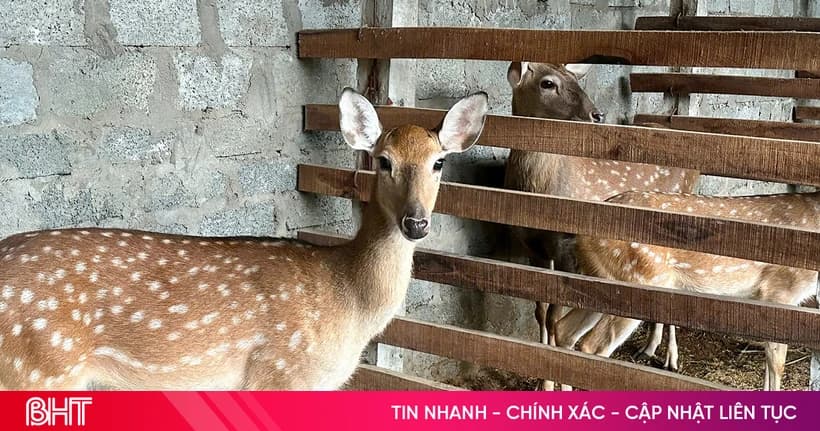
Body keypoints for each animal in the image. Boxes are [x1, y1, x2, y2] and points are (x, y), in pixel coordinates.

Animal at [0, 88, 489, 390]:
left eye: (439, 162)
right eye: (384, 161)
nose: (416, 222)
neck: (347, 299)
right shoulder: (280, 373)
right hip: (39, 369)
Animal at [503, 62, 700, 389]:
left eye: (576, 79)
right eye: (548, 83)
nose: (597, 114)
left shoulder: (566, 245)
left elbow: (555, 315)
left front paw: (555, 380)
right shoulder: (534, 249)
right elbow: (540, 311)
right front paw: (541, 380)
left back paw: (671, 360)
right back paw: (649, 349)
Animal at [557, 190, 819, 390]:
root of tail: (580, 239)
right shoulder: (781, 290)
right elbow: (777, 363)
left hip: (598, 283)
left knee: (564, 331)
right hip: (633, 282)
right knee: (593, 347)